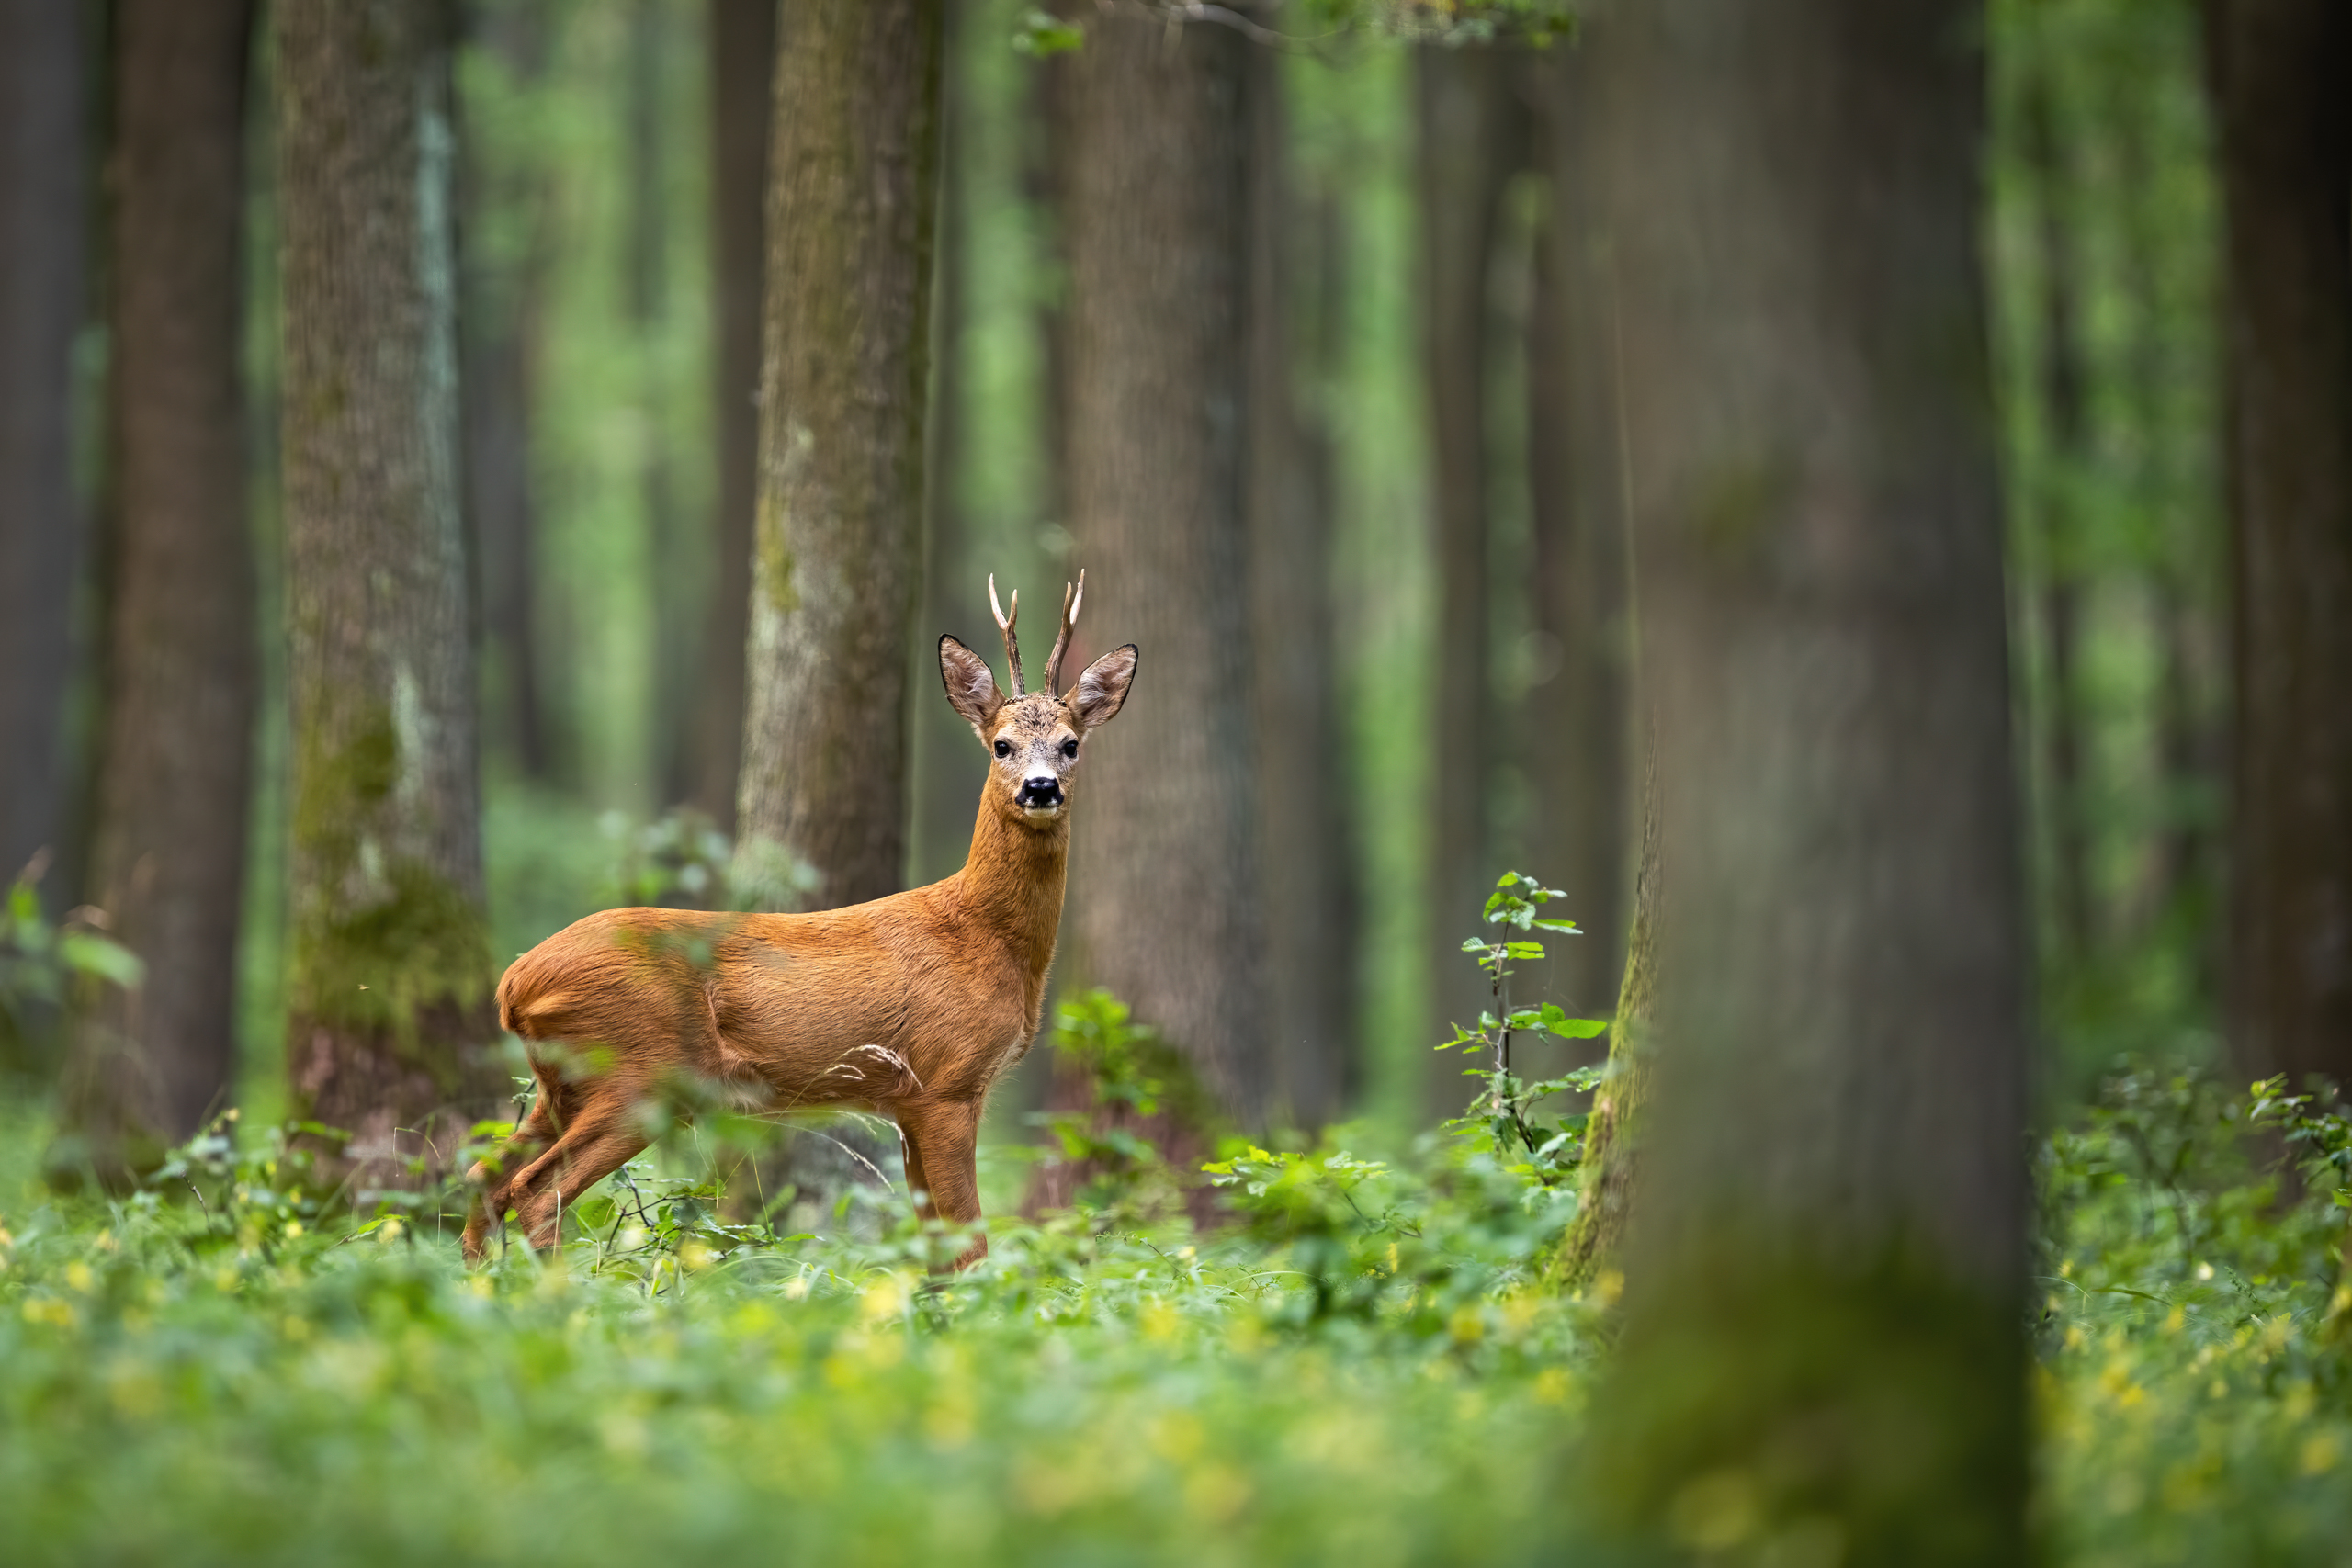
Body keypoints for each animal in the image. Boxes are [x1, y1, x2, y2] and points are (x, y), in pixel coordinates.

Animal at [461, 572, 1135, 1271]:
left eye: (1071, 744)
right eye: (1002, 745)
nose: (1040, 787)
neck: (984, 935)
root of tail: (514, 984)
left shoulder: (905, 1101)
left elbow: (934, 1248)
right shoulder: (947, 1081)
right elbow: (970, 1243)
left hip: (563, 1085)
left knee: (483, 1177)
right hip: (637, 1072)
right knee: (535, 1189)